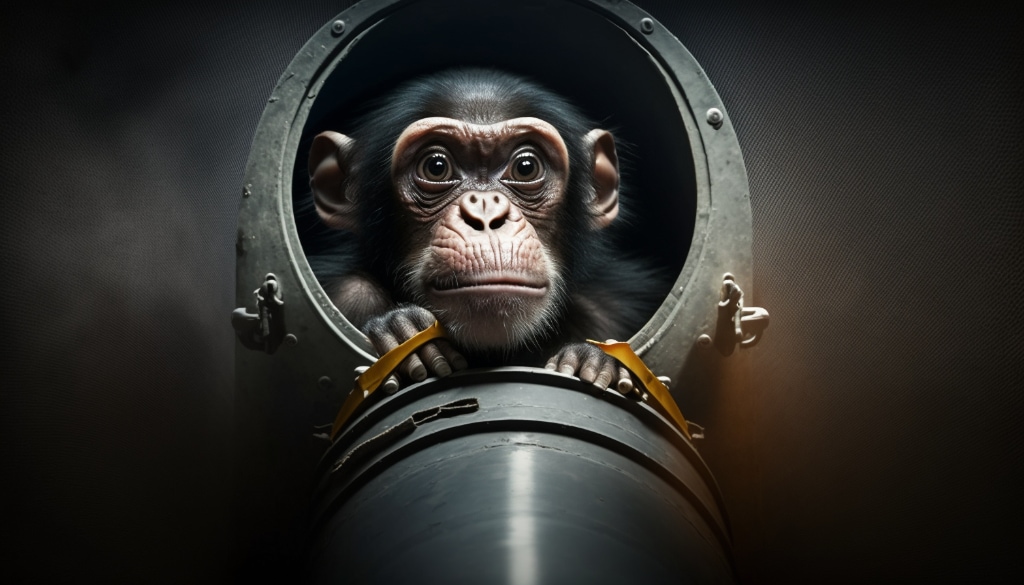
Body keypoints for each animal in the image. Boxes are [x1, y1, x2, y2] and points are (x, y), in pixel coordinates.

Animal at [304, 68, 665, 394]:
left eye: (525, 167)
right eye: (436, 167)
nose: (486, 213)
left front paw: (595, 361)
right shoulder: (347, 295)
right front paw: (402, 332)